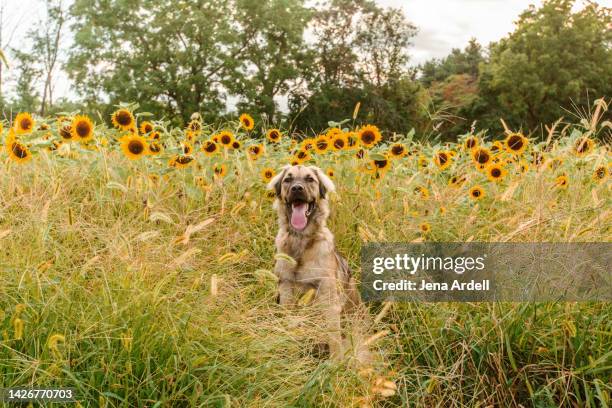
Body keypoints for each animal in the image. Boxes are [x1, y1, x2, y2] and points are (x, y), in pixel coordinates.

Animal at [268, 164, 364, 358]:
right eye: (288, 180)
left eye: (309, 179)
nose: (297, 188)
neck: (300, 241)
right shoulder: (287, 292)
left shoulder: (329, 302)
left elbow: (334, 341)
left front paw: (336, 363)